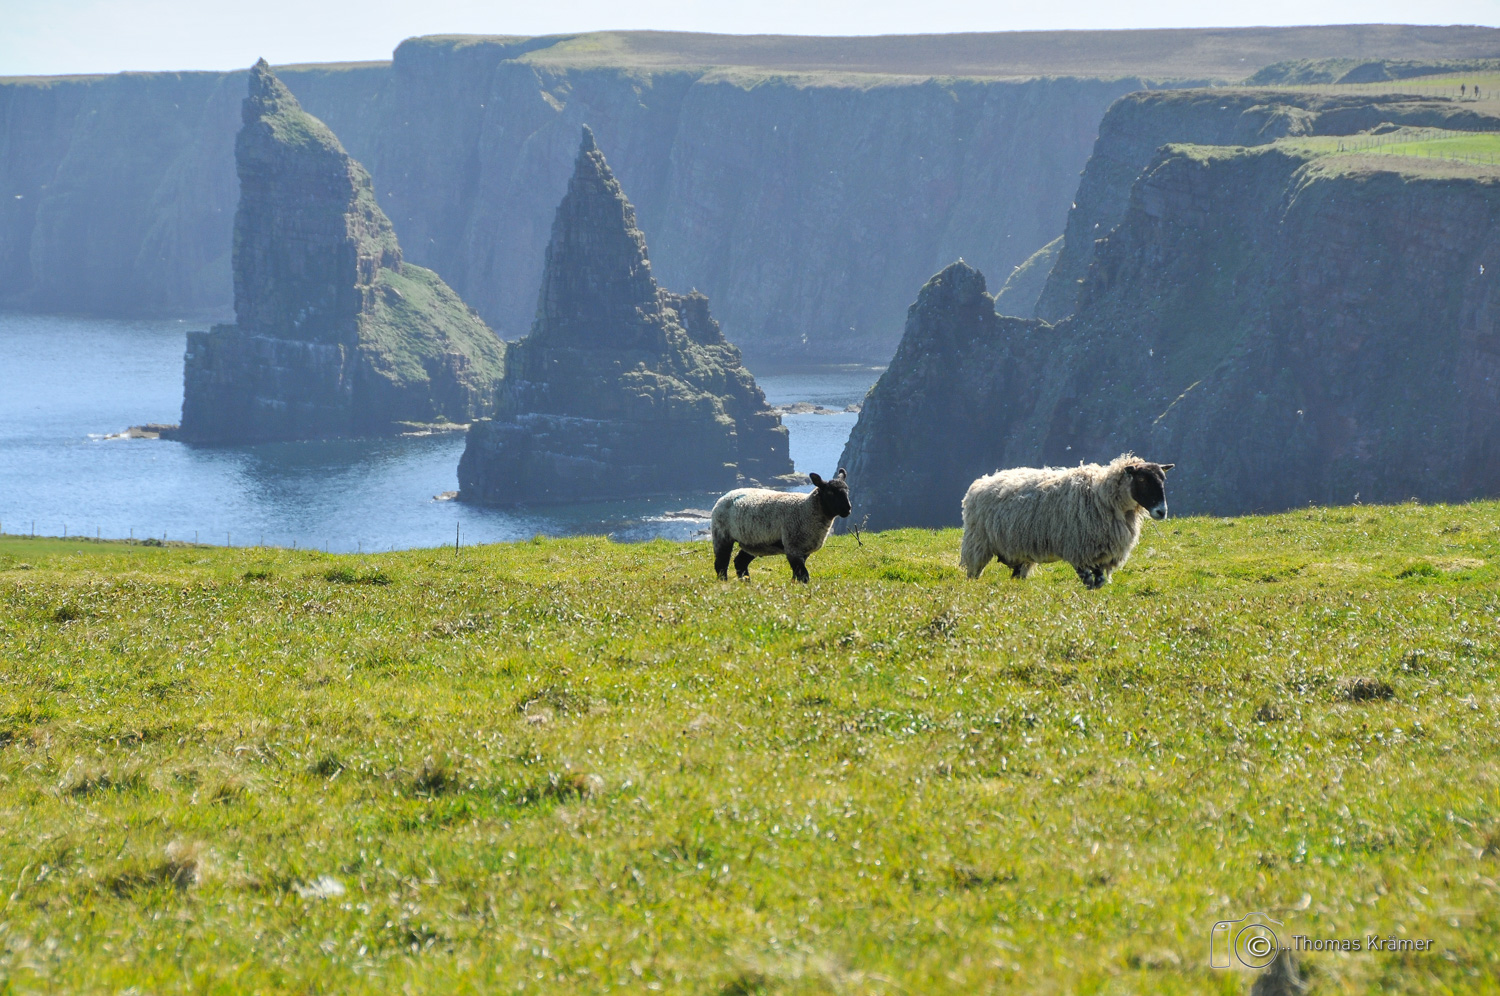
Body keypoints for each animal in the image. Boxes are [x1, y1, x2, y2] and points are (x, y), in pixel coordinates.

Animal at [711, 468, 852, 585]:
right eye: (830, 492)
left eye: (847, 490)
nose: (848, 509)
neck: (807, 508)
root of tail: (724, 496)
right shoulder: (792, 547)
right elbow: (803, 575)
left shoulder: (804, 550)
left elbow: (797, 574)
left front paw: (794, 585)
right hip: (721, 534)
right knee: (721, 563)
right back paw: (724, 582)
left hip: (752, 541)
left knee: (740, 562)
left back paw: (747, 583)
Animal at [960, 456, 1170, 588]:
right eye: (1142, 479)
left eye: (1163, 479)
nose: (1162, 511)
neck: (1103, 495)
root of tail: (981, 482)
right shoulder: (1078, 549)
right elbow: (1088, 581)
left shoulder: (1100, 553)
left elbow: (1100, 581)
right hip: (977, 543)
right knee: (973, 572)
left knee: (1017, 574)